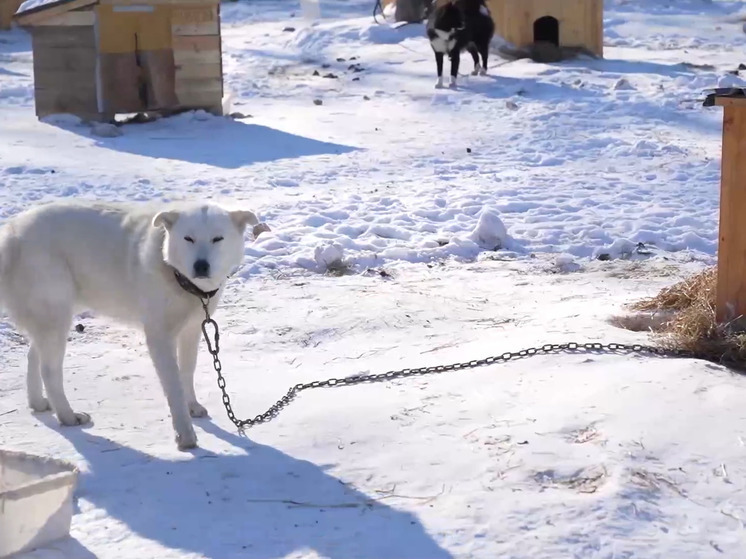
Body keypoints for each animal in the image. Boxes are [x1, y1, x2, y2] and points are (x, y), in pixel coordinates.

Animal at [0, 201, 262, 450]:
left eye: (217, 238)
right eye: (188, 238)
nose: (200, 265)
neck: (175, 275)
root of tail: (12, 232)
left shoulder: (192, 329)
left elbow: (187, 371)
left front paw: (192, 406)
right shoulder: (159, 336)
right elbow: (174, 385)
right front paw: (185, 435)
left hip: (53, 315)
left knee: (33, 355)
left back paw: (38, 403)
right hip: (56, 315)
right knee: (49, 370)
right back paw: (67, 416)